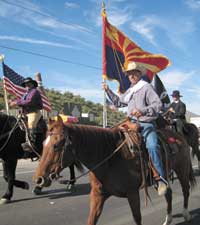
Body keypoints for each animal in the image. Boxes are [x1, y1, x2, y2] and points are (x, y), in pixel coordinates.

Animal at [34, 116, 195, 225]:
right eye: (42, 143)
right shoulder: (97, 195)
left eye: (56, 145)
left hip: (182, 170)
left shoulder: (132, 193)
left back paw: (186, 214)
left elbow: (137, 218)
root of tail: (179, 136)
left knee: (186, 190)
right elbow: (92, 219)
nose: (39, 179)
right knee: (169, 194)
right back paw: (168, 219)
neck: (109, 158)